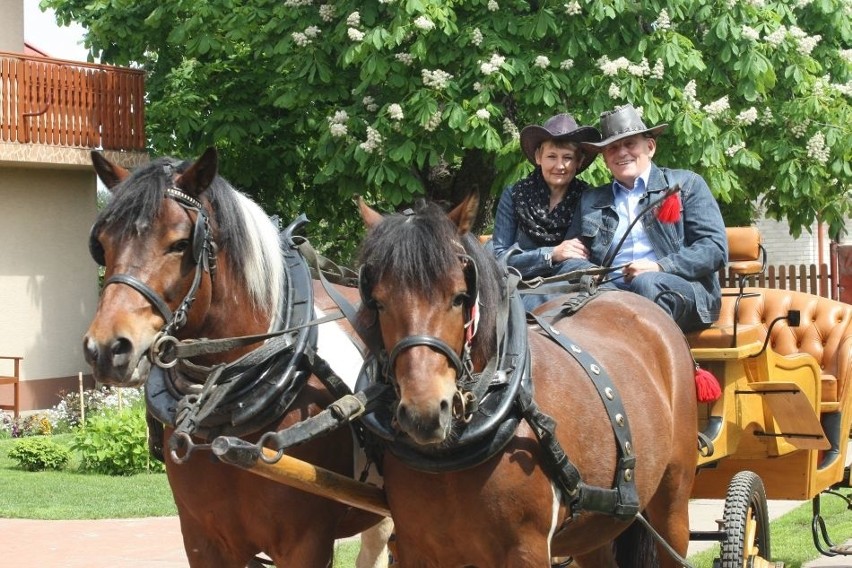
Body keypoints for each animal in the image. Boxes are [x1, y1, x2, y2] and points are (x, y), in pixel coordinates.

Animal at [356, 193, 696, 564]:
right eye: (378, 302)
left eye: (459, 296)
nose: (425, 413)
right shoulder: (416, 550)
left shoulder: (526, 550)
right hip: (593, 528)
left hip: (673, 500)